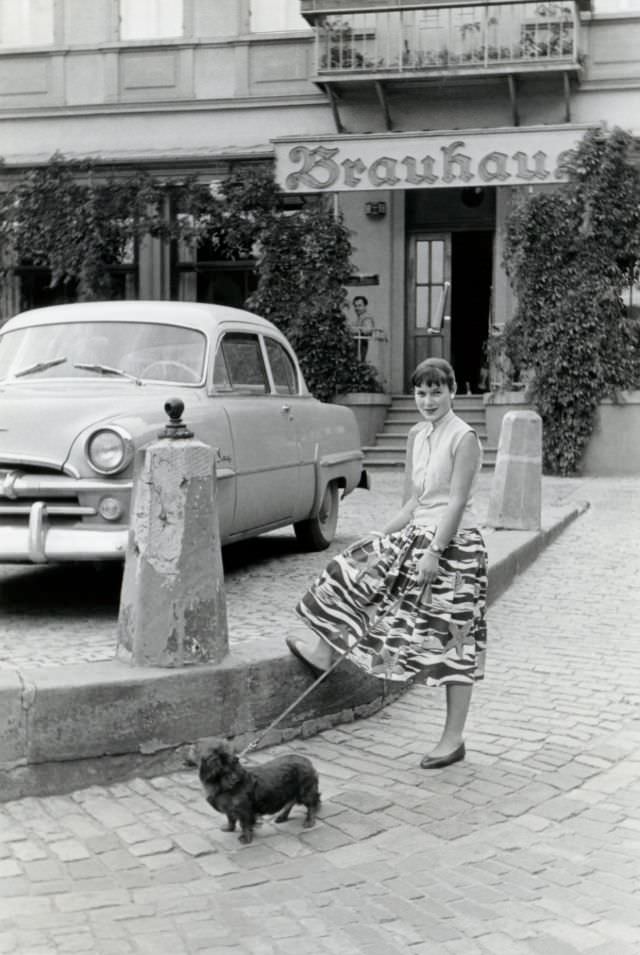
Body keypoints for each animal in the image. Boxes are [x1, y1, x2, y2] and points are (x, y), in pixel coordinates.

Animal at [186, 740, 322, 844]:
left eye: (196, 747)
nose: (189, 745)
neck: (225, 781)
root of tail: (307, 761)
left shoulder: (244, 810)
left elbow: (245, 825)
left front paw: (245, 838)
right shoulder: (230, 809)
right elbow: (230, 819)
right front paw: (229, 828)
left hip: (305, 791)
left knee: (313, 803)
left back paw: (309, 821)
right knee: (291, 802)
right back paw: (282, 816)